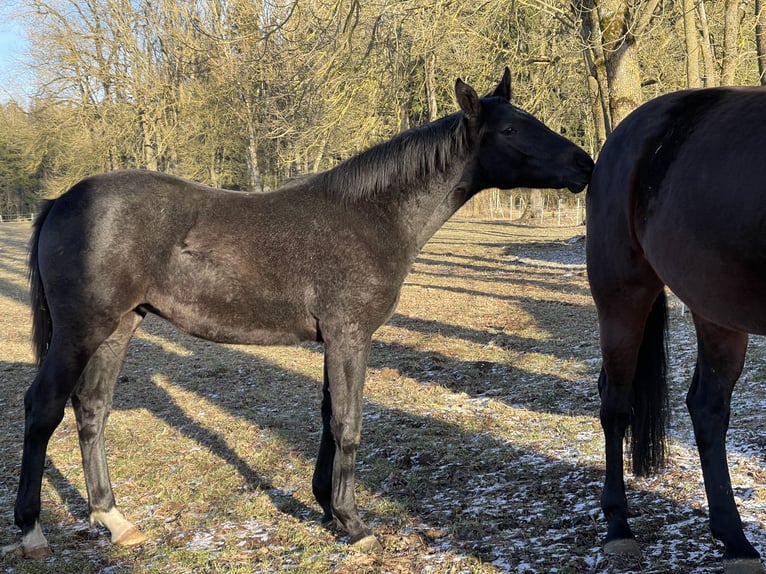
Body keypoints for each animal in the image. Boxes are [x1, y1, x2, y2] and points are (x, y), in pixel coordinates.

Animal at [15, 70, 596, 560]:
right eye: (512, 128)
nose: (584, 164)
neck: (372, 216)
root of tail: (61, 200)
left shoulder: (332, 339)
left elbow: (327, 417)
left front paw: (327, 508)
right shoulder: (349, 336)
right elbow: (348, 423)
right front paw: (354, 523)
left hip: (119, 327)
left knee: (91, 410)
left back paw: (114, 520)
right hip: (80, 330)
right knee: (44, 408)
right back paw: (32, 531)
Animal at [588, 86, 766, 574]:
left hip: (716, 310)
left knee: (706, 407)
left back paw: (735, 540)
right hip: (622, 298)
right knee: (616, 405)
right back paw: (618, 527)